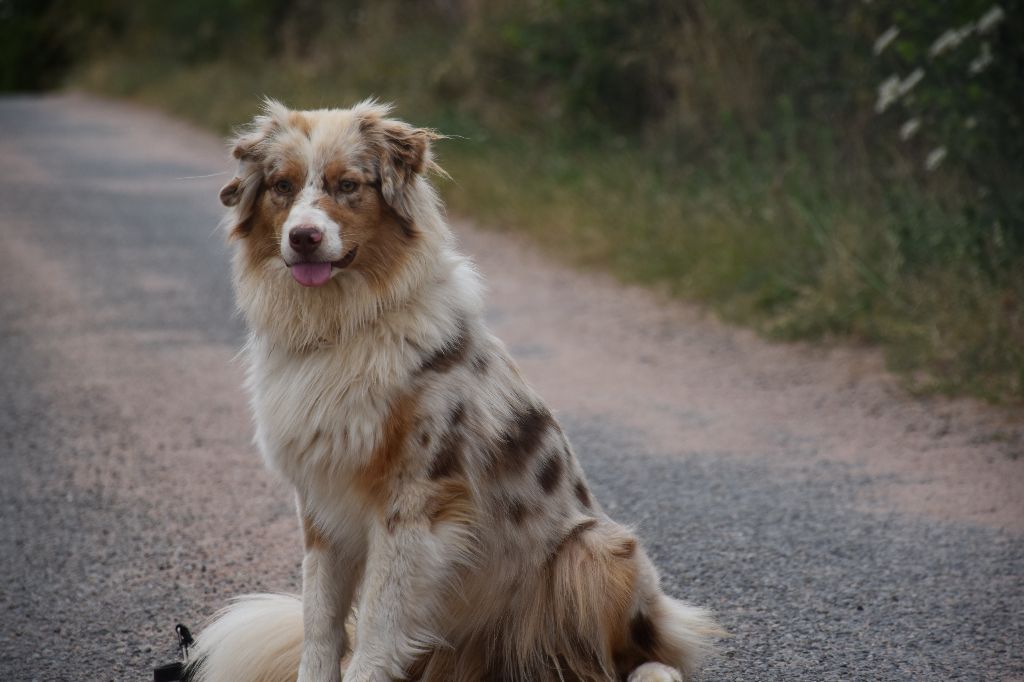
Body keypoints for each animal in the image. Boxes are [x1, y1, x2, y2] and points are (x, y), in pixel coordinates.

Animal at [192, 96, 720, 679]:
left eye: (348, 184)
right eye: (282, 186)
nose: (303, 237)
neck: (344, 327)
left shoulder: (414, 501)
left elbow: (376, 623)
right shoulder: (319, 503)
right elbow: (320, 622)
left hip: (596, 549)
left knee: (634, 654)